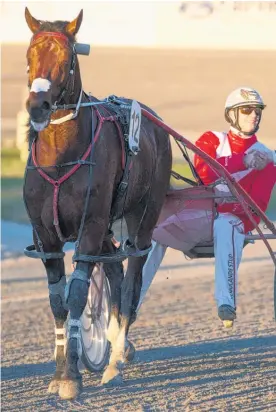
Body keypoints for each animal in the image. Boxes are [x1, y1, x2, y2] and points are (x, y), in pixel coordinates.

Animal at [23, 7, 171, 400]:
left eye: (67, 60)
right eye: (29, 57)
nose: (38, 106)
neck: (61, 157)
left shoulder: (89, 227)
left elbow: (76, 296)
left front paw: (71, 377)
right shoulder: (46, 237)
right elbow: (57, 302)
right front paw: (61, 370)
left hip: (141, 217)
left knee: (132, 277)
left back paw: (116, 360)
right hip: (107, 224)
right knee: (116, 270)